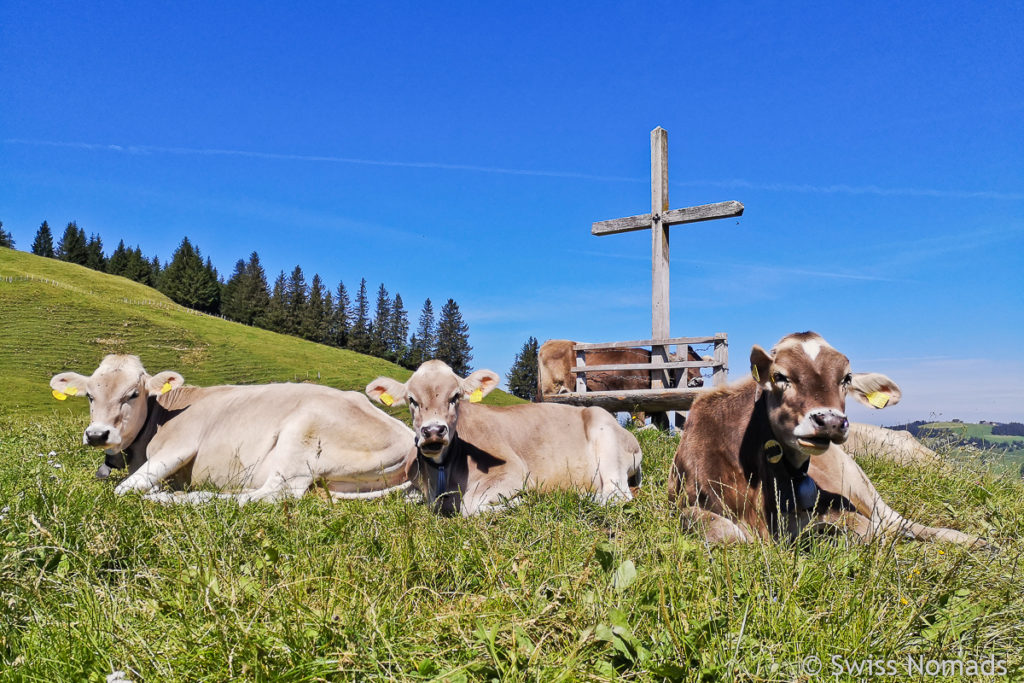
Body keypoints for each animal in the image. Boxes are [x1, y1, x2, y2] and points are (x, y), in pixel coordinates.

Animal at [50, 356, 411, 505]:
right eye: (89, 395)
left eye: (133, 394)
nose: (97, 435)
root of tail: (410, 440)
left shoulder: (180, 444)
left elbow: (123, 489)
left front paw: (155, 491)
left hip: (301, 438)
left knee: (270, 496)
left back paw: (183, 498)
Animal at [366, 360, 638, 516]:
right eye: (412, 400)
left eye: (455, 396)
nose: (433, 431)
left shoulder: (514, 472)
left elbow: (471, 506)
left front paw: (520, 501)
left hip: (605, 434)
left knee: (617, 495)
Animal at [667, 333, 987, 548]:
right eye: (780, 376)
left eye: (846, 378)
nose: (830, 421)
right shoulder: (685, 503)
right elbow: (724, 531)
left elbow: (862, 527)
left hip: (860, 481)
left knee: (895, 521)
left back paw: (971, 541)